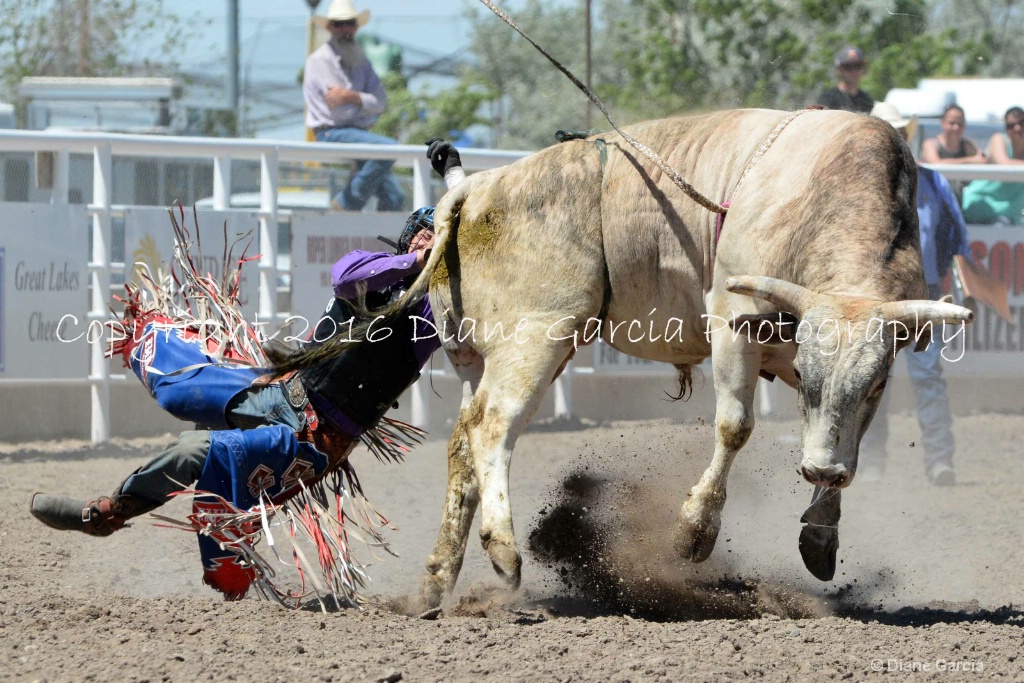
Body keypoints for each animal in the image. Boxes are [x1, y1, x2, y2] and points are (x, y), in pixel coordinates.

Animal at [276, 108, 970, 610]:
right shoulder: (732, 321)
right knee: (493, 426)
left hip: (481, 351)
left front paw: (820, 533)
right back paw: (504, 551)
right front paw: (693, 531)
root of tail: (473, 191)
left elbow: (847, 437)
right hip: (537, 335)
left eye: (875, 383)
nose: (822, 472)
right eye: (807, 376)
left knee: (463, 443)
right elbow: (735, 426)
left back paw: (437, 581)